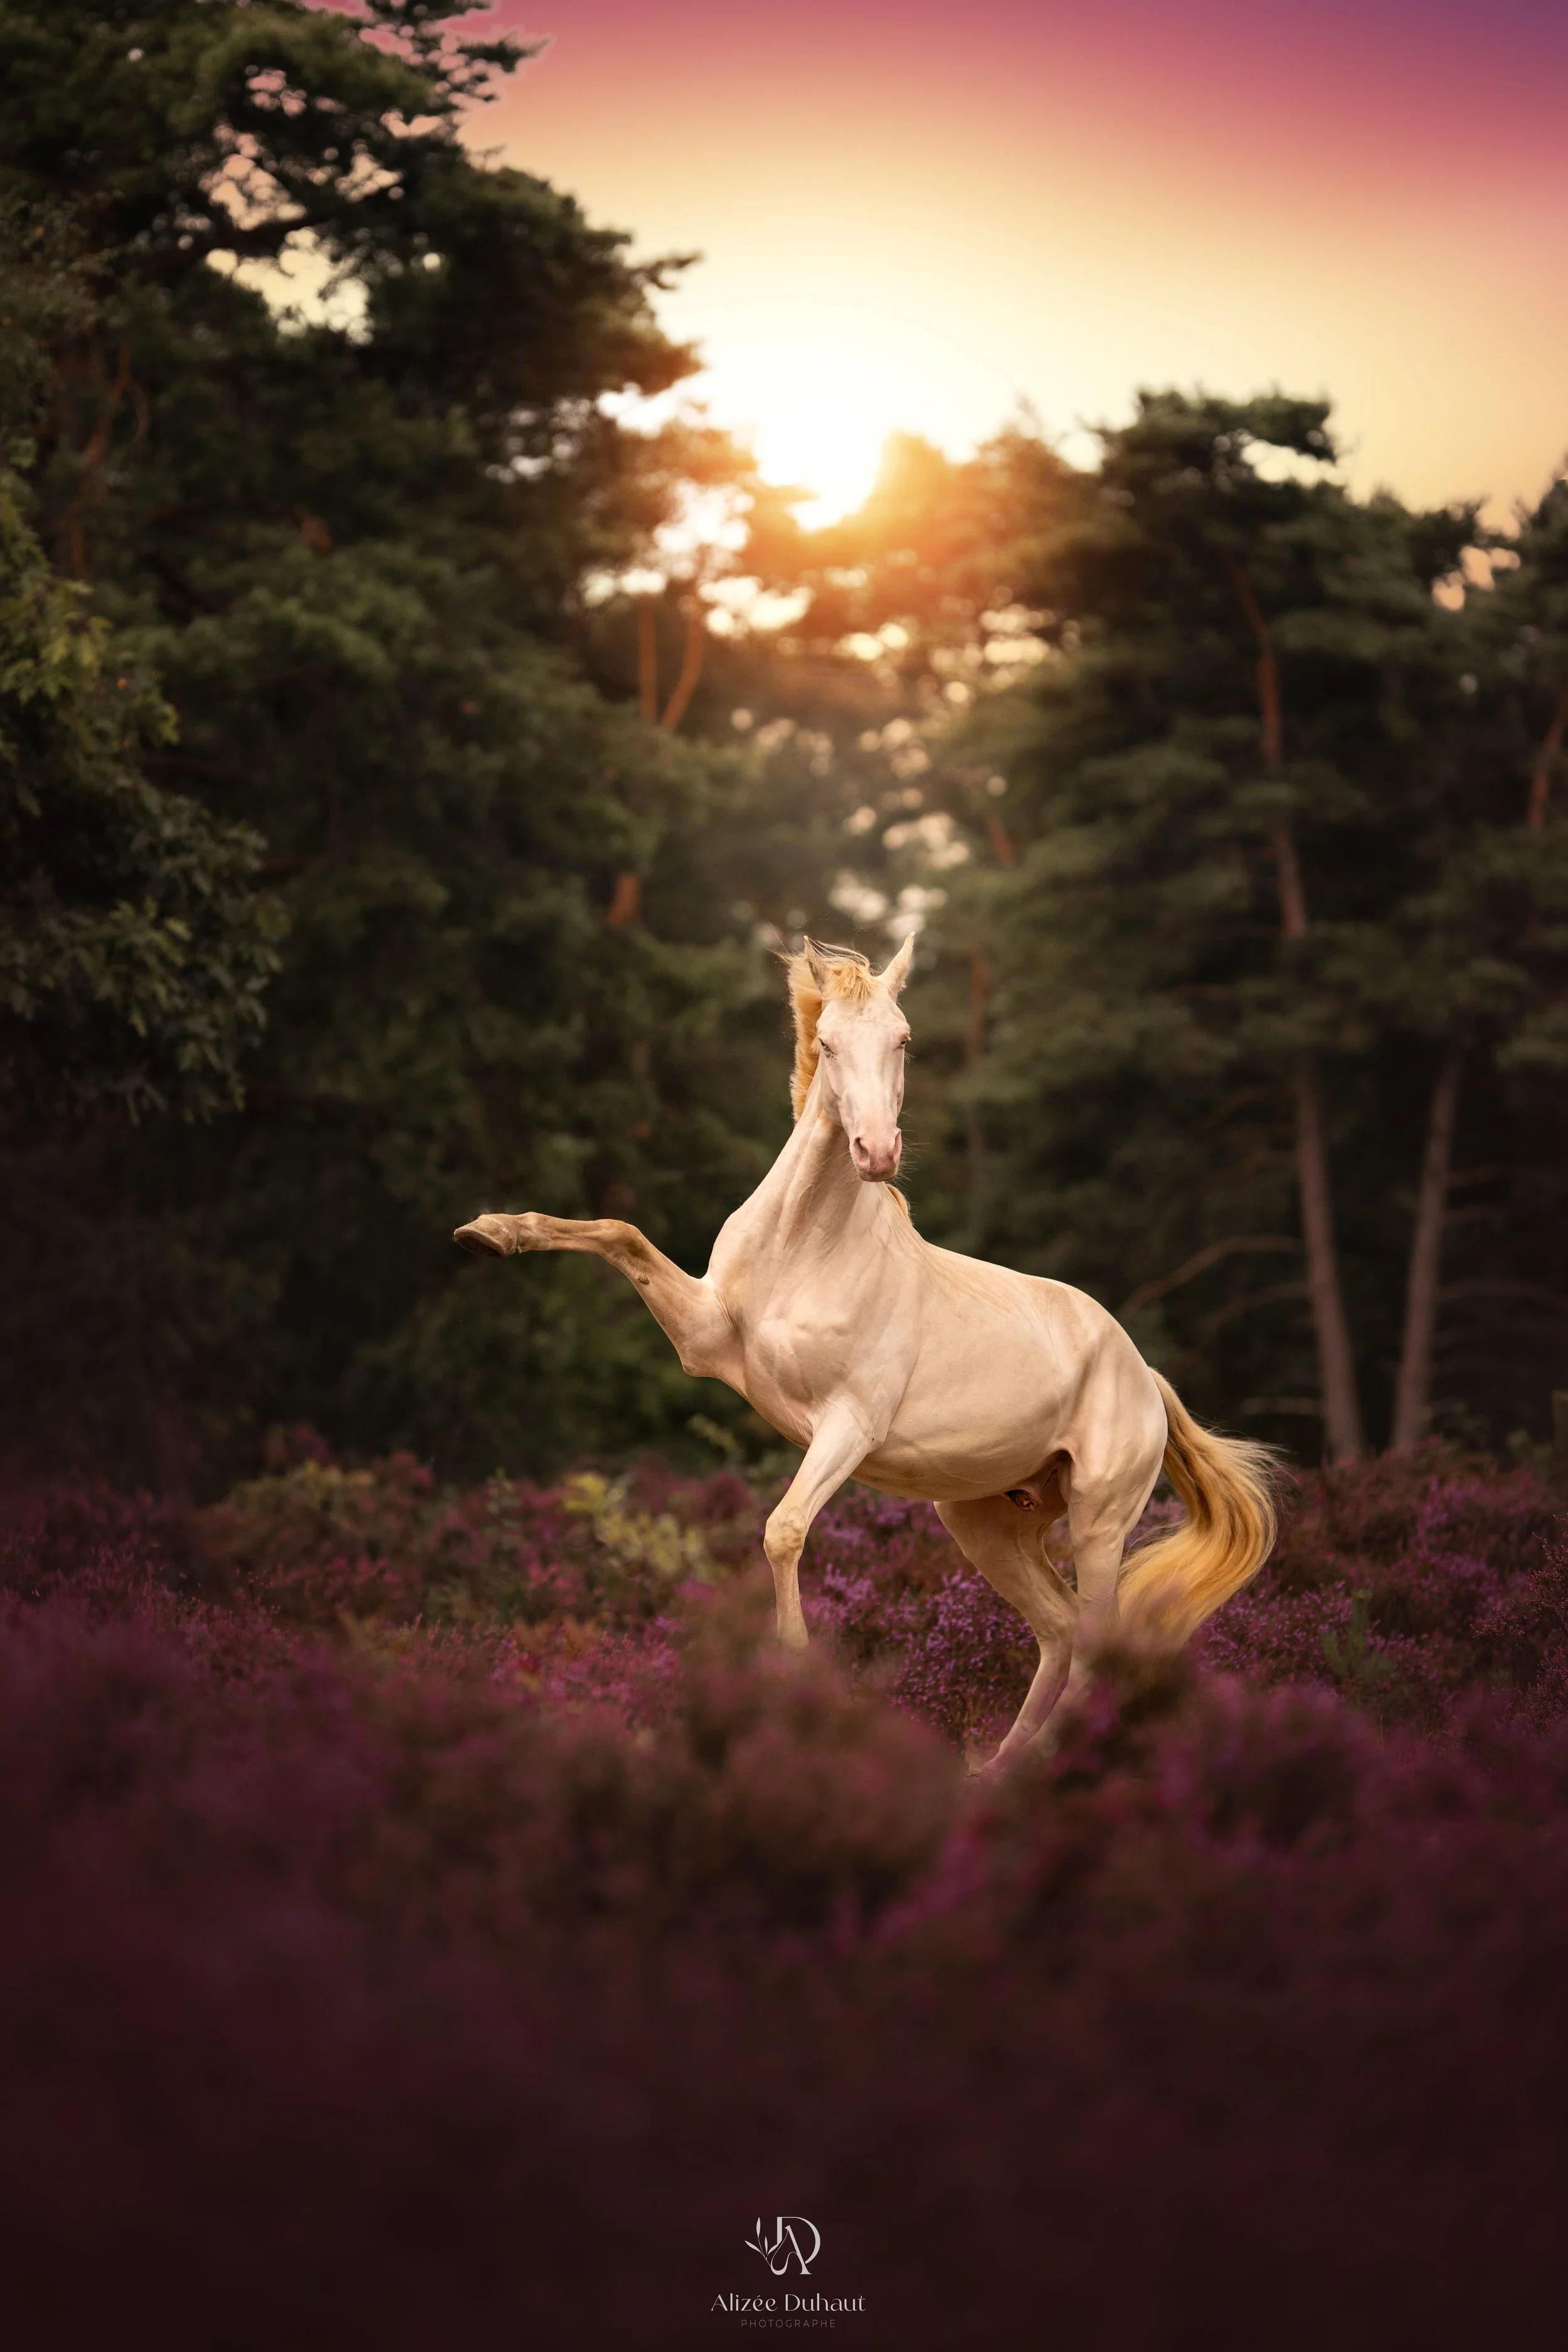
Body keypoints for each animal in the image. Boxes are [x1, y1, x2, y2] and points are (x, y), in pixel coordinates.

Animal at [455, 934, 1276, 1768]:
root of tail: (1144, 1375)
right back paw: (994, 1774)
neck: (801, 1252)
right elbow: (620, 1234)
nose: (876, 1152)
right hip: (985, 1522)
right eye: (825, 1043)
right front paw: (491, 1231)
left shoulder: (848, 1425)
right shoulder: (705, 1340)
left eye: (904, 1040)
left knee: (1092, 1648)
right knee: (1059, 1630)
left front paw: (795, 1679)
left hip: (1099, 1522)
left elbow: (783, 1530)